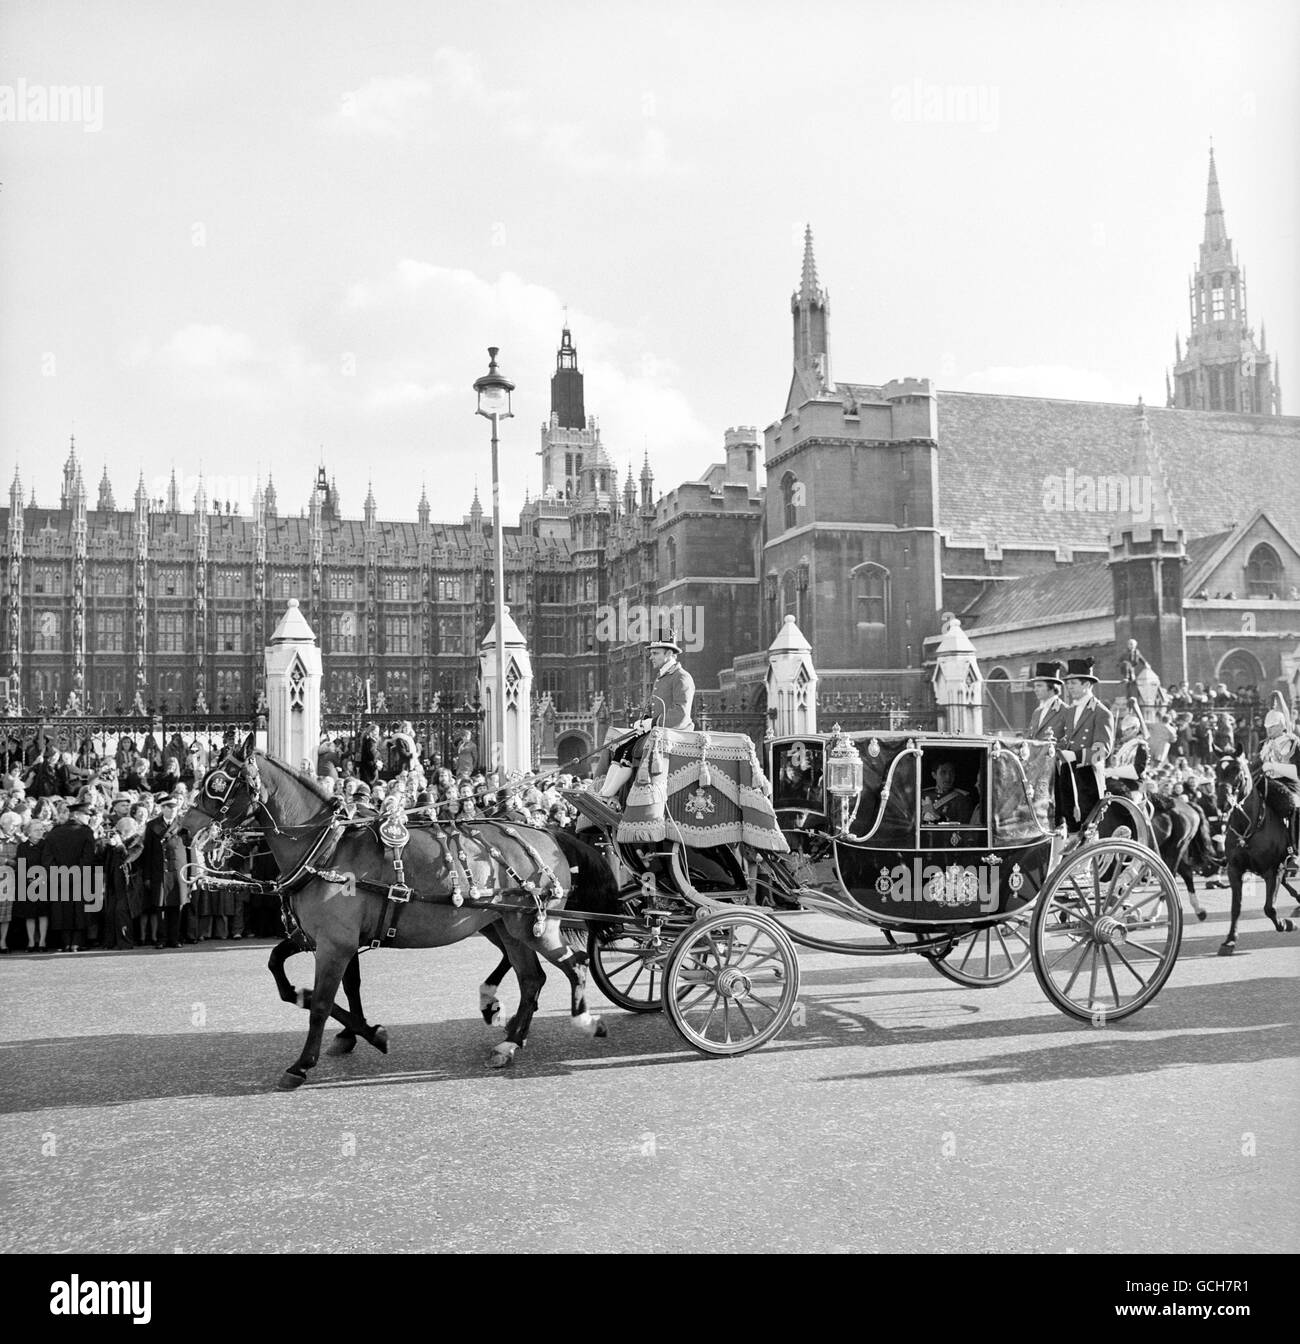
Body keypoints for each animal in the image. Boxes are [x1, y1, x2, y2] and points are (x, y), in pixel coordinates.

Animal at [184, 741, 621, 1085]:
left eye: (218, 784)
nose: (185, 829)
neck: (327, 849)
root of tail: (546, 832)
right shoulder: (324, 939)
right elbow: (289, 977)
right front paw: (363, 1031)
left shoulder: (335, 944)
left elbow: (322, 1003)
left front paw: (303, 1063)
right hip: (506, 925)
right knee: (532, 979)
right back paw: (509, 1039)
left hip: (534, 927)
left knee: (574, 965)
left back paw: (582, 1021)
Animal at [1215, 758, 1295, 956]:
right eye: (1216, 770)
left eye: (1238, 772)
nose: (1223, 803)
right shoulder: (1234, 870)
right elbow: (1236, 907)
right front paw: (1230, 940)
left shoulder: (1274, 870)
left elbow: (1269, 908)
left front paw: (1285, 924)